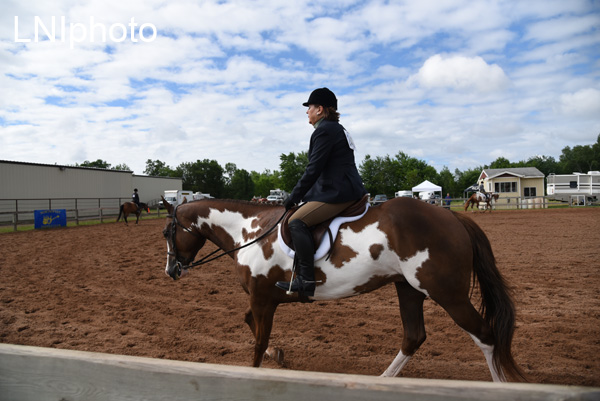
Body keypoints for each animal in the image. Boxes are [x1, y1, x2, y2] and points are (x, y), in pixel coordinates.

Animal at [162, 197, 524, 382]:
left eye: (167, 232)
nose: (171, 270)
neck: (250, 231)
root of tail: (453, 218)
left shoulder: (263, 298)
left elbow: (257, 341)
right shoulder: (262, 299)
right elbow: (250, 324)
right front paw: (277, 355)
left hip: (448, 294)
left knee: (485, 335)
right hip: (408, 288)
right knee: (414, 336)